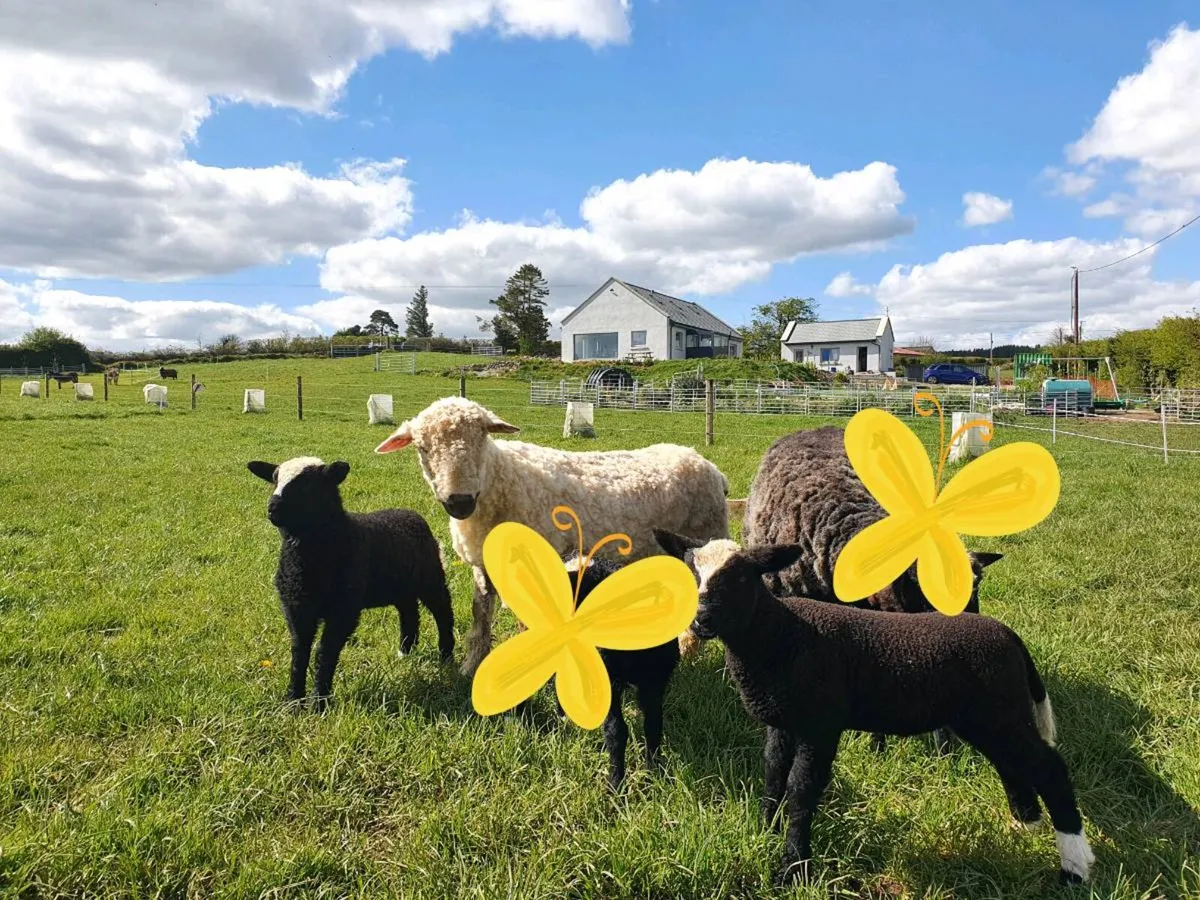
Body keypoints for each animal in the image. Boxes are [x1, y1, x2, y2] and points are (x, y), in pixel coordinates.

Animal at [247, 456, 455, 705]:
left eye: (308, 484)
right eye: (274, 480)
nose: (272, 509)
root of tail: (411, 514)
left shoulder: (343, 610)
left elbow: (325, 652)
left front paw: (319, 702)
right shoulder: (296, 607)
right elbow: (299, 651)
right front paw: (294, 701)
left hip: (430, 578)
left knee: (443, 611)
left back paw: (445, 656)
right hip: (400, 586)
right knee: (409, 612)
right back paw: (405, 652)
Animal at [374, 396, 731, 677]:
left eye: (481, 439)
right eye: (422, 448)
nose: (459, 502)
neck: (502, 479)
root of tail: (708, 465)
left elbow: (523, 624)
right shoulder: (482, 567)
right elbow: (480, 617)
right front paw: (470, 667)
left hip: (705, 536)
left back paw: (689, 653)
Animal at [557, 551, 681, 790]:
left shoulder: (655, 681)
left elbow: (653, 723)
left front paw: (654, 773)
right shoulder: (609, 681)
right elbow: (616, 731)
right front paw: (615, 784)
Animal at [654, 531, 1095, 888]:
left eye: (743, 577)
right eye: (691, 574)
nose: (700, 620)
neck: (780, 636)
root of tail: (1011, 638)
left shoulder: (820, 723)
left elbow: (801, 787)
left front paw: (792, 867)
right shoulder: (782, 722)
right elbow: (773, 774)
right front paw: (766, 832)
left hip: (1000, 712)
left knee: (1050, 769)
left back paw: (1074, 865)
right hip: (989, 717)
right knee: (1012, 762)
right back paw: (1026, 822)